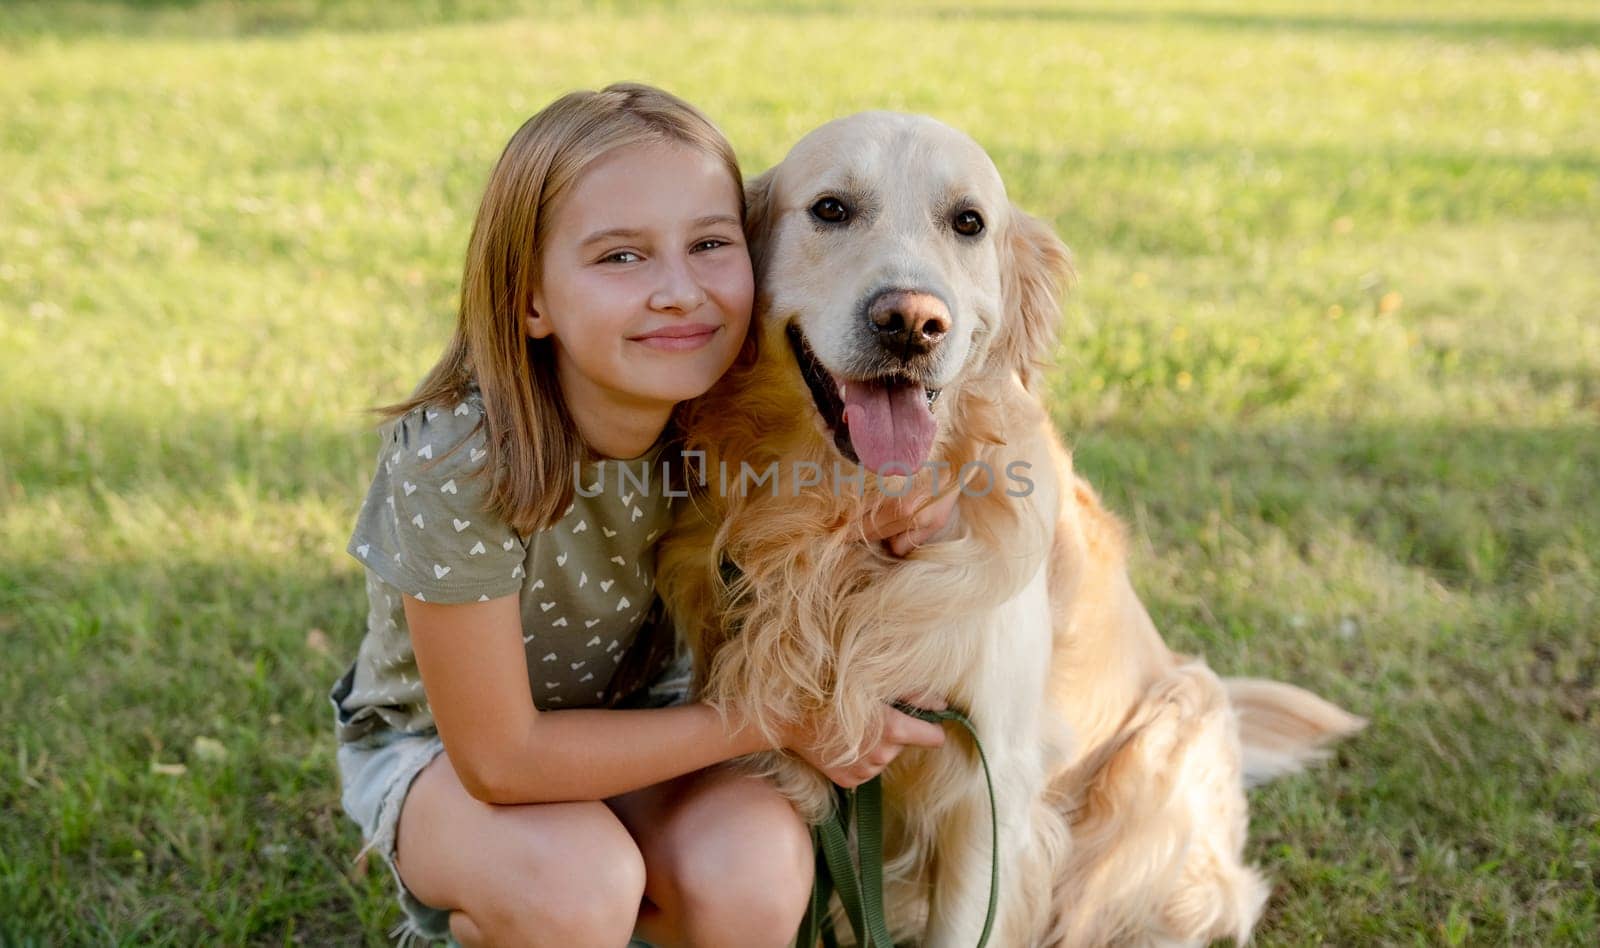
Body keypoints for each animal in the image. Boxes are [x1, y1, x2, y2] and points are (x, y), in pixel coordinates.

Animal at [656, 114, 1356, 941]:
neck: (854, 522)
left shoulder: (990, 789)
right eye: (830, 209)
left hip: (1161, 761)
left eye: (968, 222)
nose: (912, 324)